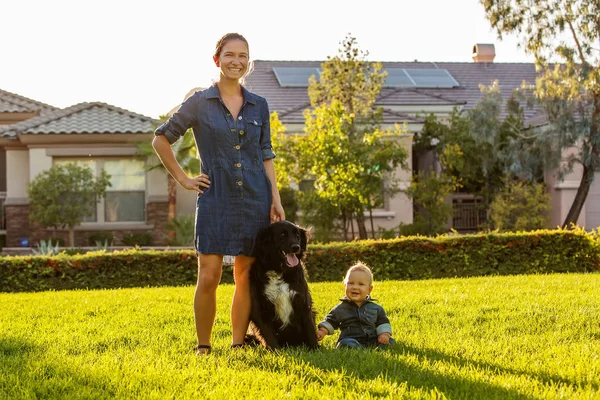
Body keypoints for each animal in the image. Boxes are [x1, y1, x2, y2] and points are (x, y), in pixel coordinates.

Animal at [247, 220, 322, 348]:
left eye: (297, 235)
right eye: (282, 234)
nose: (296, 247)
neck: (280, 272)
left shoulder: (303, 302)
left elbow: (310, 329)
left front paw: (316, 349)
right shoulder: (261, 307)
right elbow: (269, 334)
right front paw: (275, 351)